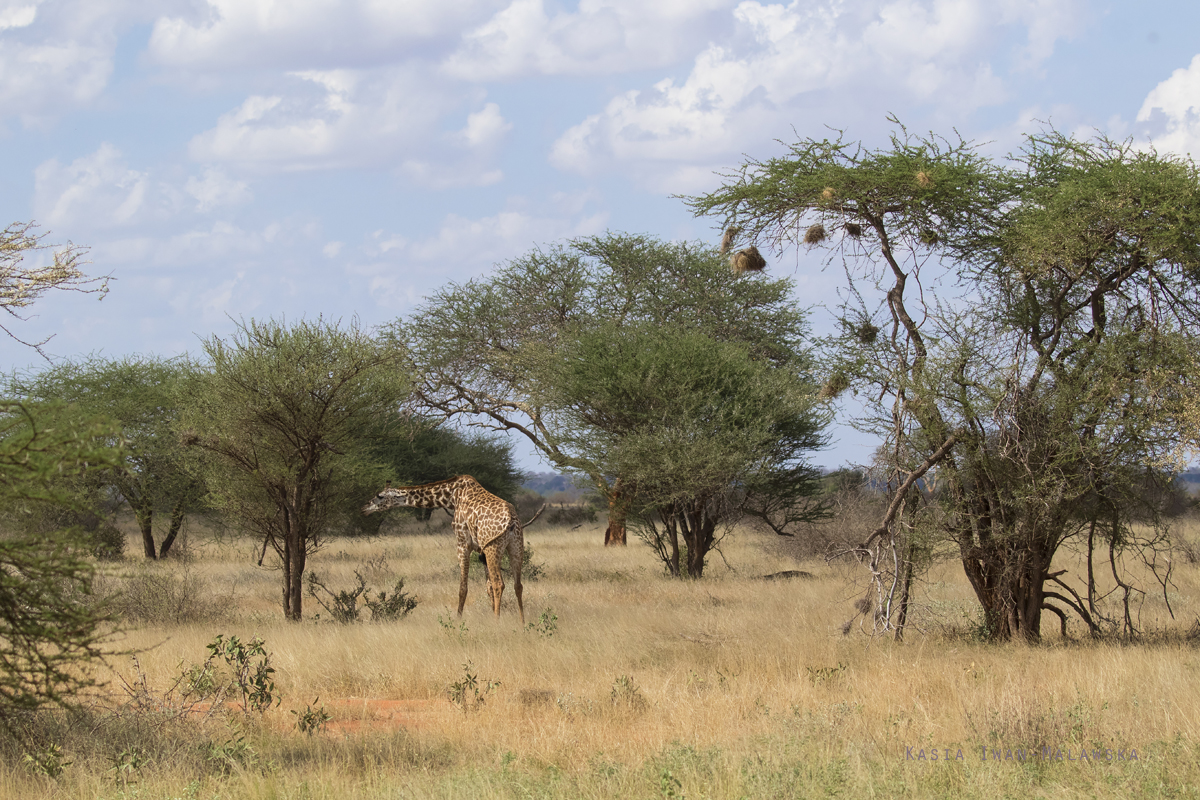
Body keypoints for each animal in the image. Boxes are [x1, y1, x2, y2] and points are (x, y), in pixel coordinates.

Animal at [357, 479, 523, 623]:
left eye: (380, 495)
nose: (364, 508)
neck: (452, 497)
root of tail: (512, 520)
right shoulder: (481, 550)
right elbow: (487, 587)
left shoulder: (463, 543)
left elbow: (463, 588)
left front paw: (458, 620)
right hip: (515, 547)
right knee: (517, 585)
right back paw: (523, 623)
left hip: (493, 547)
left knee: (499, 584)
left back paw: (497, 622)